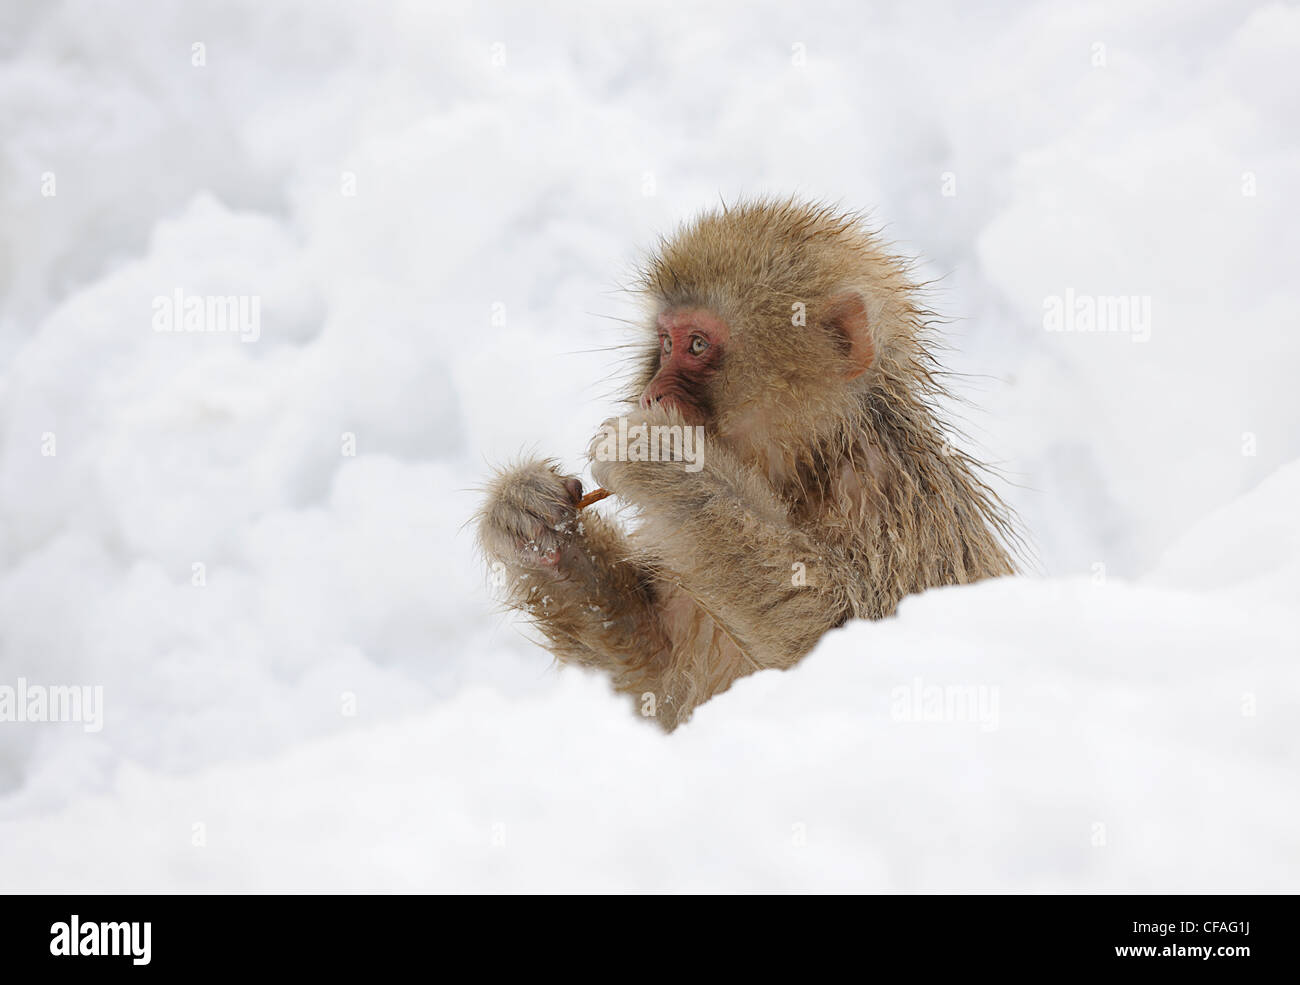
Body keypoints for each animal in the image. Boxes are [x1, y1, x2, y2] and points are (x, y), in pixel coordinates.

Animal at [475, 198, 1013, 732]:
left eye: (697, 344)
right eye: (665, 343)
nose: (651, 394)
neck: (805, 467)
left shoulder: (888, 496)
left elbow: (851, 642)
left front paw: (662, 456)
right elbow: (658, 690)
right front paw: (525, 514)